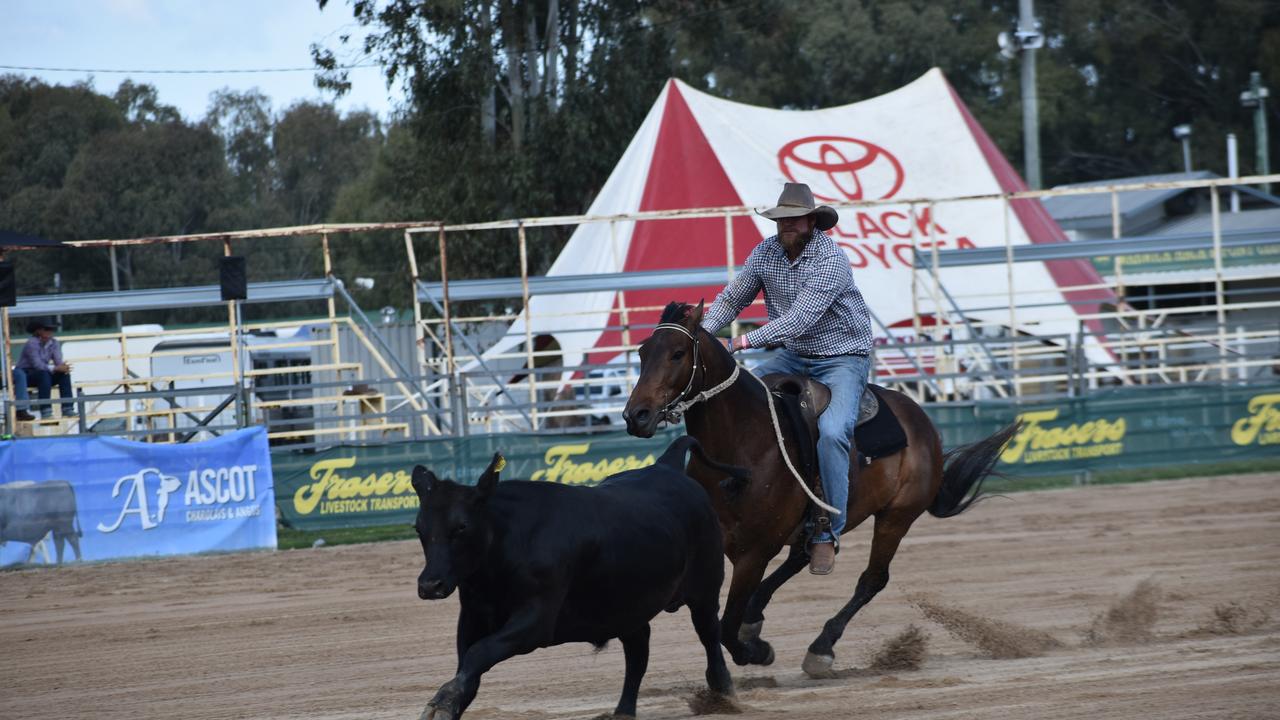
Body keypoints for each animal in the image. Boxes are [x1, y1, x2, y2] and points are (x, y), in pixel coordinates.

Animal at [622, 299, 1018, 671]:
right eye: (642, 352)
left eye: (677, 353)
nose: (635, 415)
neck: (744, 445)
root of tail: (922, 423)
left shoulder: (753, 553)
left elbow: (727, 625)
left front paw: (756, 651)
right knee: (801, 556)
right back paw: (760, 617)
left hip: (896, 516)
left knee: (872, 579)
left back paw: (820, 647)